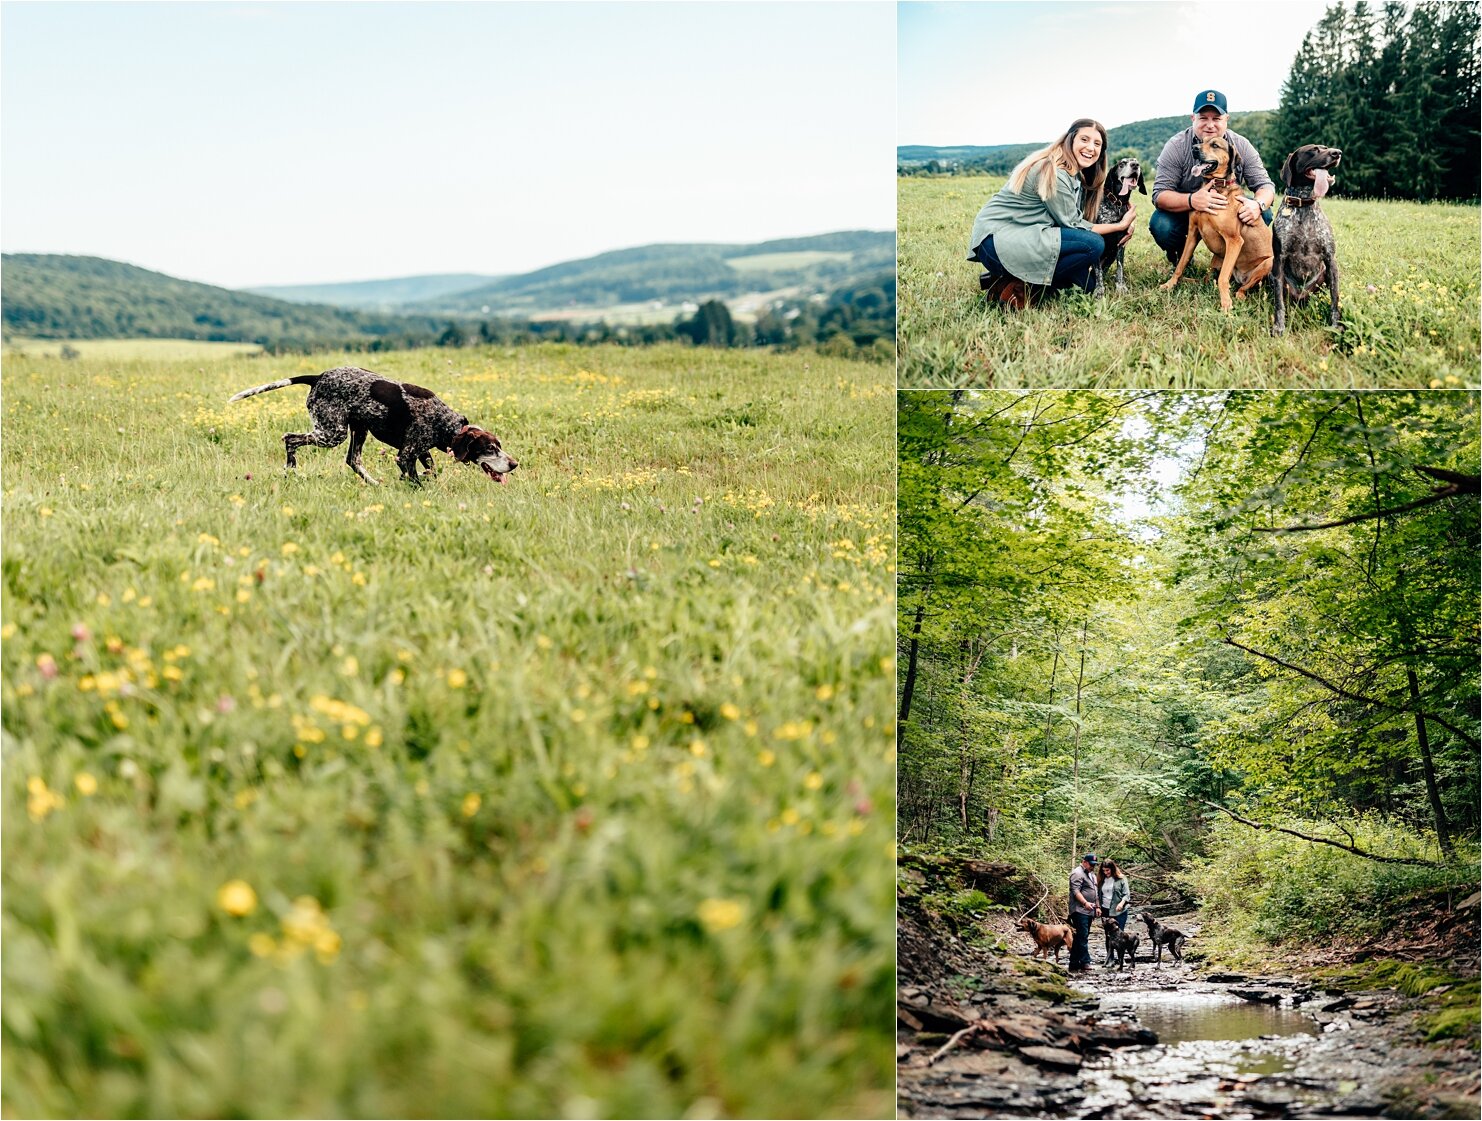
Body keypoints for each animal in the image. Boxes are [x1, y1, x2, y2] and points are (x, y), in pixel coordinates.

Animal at [225, 366, 515, 483]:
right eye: (490, 448)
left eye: (499, 445)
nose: (514, 464)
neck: (444, 423)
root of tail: (318, 376)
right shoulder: (406, 454)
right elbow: (415, 478)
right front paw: (413, 484)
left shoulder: (420, 450)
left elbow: (430, 471)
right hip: (332, 433)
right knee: (290, 439)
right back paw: (291, 469)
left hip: (358, 429)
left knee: (353, 460)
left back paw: (374, 483)